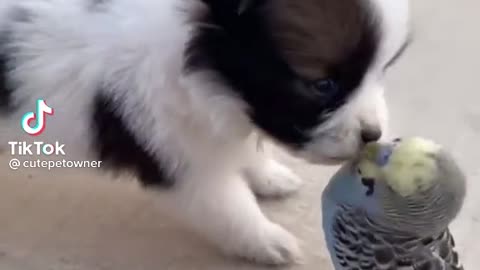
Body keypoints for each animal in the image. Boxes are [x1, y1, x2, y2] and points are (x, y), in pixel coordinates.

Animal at [0, 0, 410, 264]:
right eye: (322, 85)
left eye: (383, 70)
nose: (373, 133)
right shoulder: (181, 158)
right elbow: (229, 205)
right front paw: (265, 240)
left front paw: (268, 176)